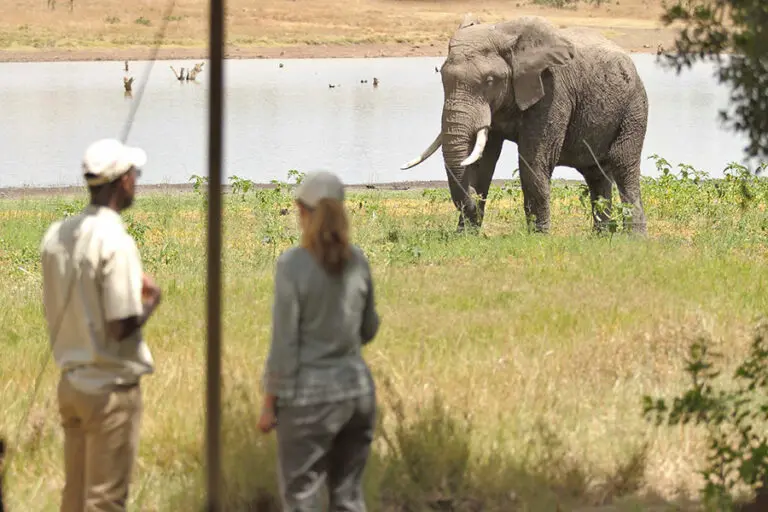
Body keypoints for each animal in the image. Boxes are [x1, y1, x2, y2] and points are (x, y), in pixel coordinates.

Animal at [401, 15, 649, 234]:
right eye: (442, 77)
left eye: (489, 81)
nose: (471, 203)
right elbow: (484, 161)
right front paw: (466, 236)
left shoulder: (552, 90)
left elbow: (533, 161)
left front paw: (538, 237)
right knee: (596, 174)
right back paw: (602, 237)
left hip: (634, 108)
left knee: (623, 166)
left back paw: (633, 238)